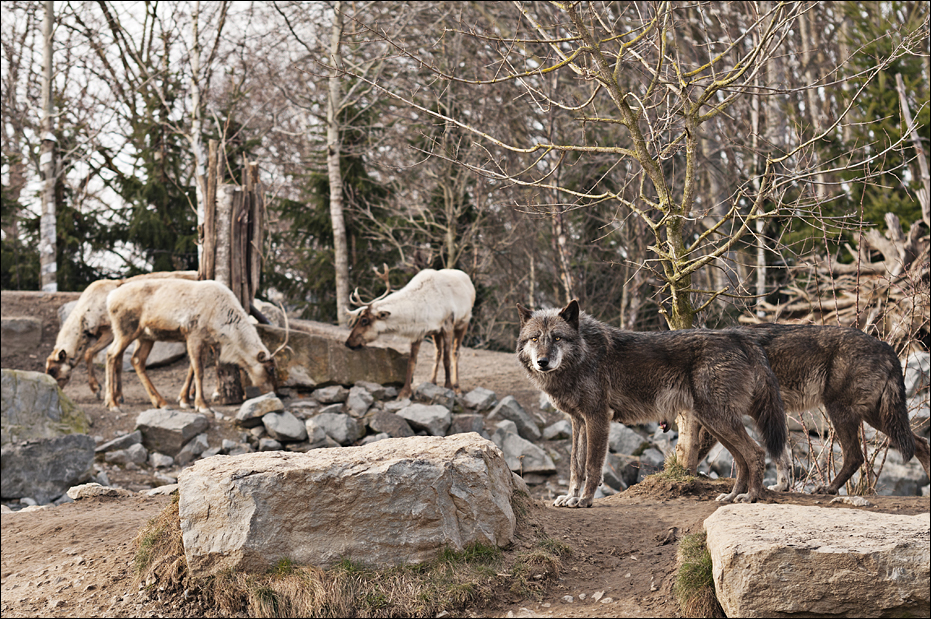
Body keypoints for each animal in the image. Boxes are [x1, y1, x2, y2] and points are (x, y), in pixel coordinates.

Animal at [516, 300, 787, 508]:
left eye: (557, 338)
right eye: (534, 339)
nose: (542, 362)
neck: (583, 355)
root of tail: (739, 337)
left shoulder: (597, 417)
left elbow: (592, 466)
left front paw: (585, 500)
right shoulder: (578, 421)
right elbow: (575, 465)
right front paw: (570, 497)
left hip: (718, 420)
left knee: (756, 453)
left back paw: (751, 497)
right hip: (714, 423)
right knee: (741, 458)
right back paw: (732, 496)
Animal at [677, 323, 931, 494]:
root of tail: (887, 347)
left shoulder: (725, 416)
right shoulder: (766, 417)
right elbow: (782, 455)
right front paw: (782, 486)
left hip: (841, 411)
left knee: (855, 456)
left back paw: (830, 489)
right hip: (877, 417)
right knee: (921, 443)